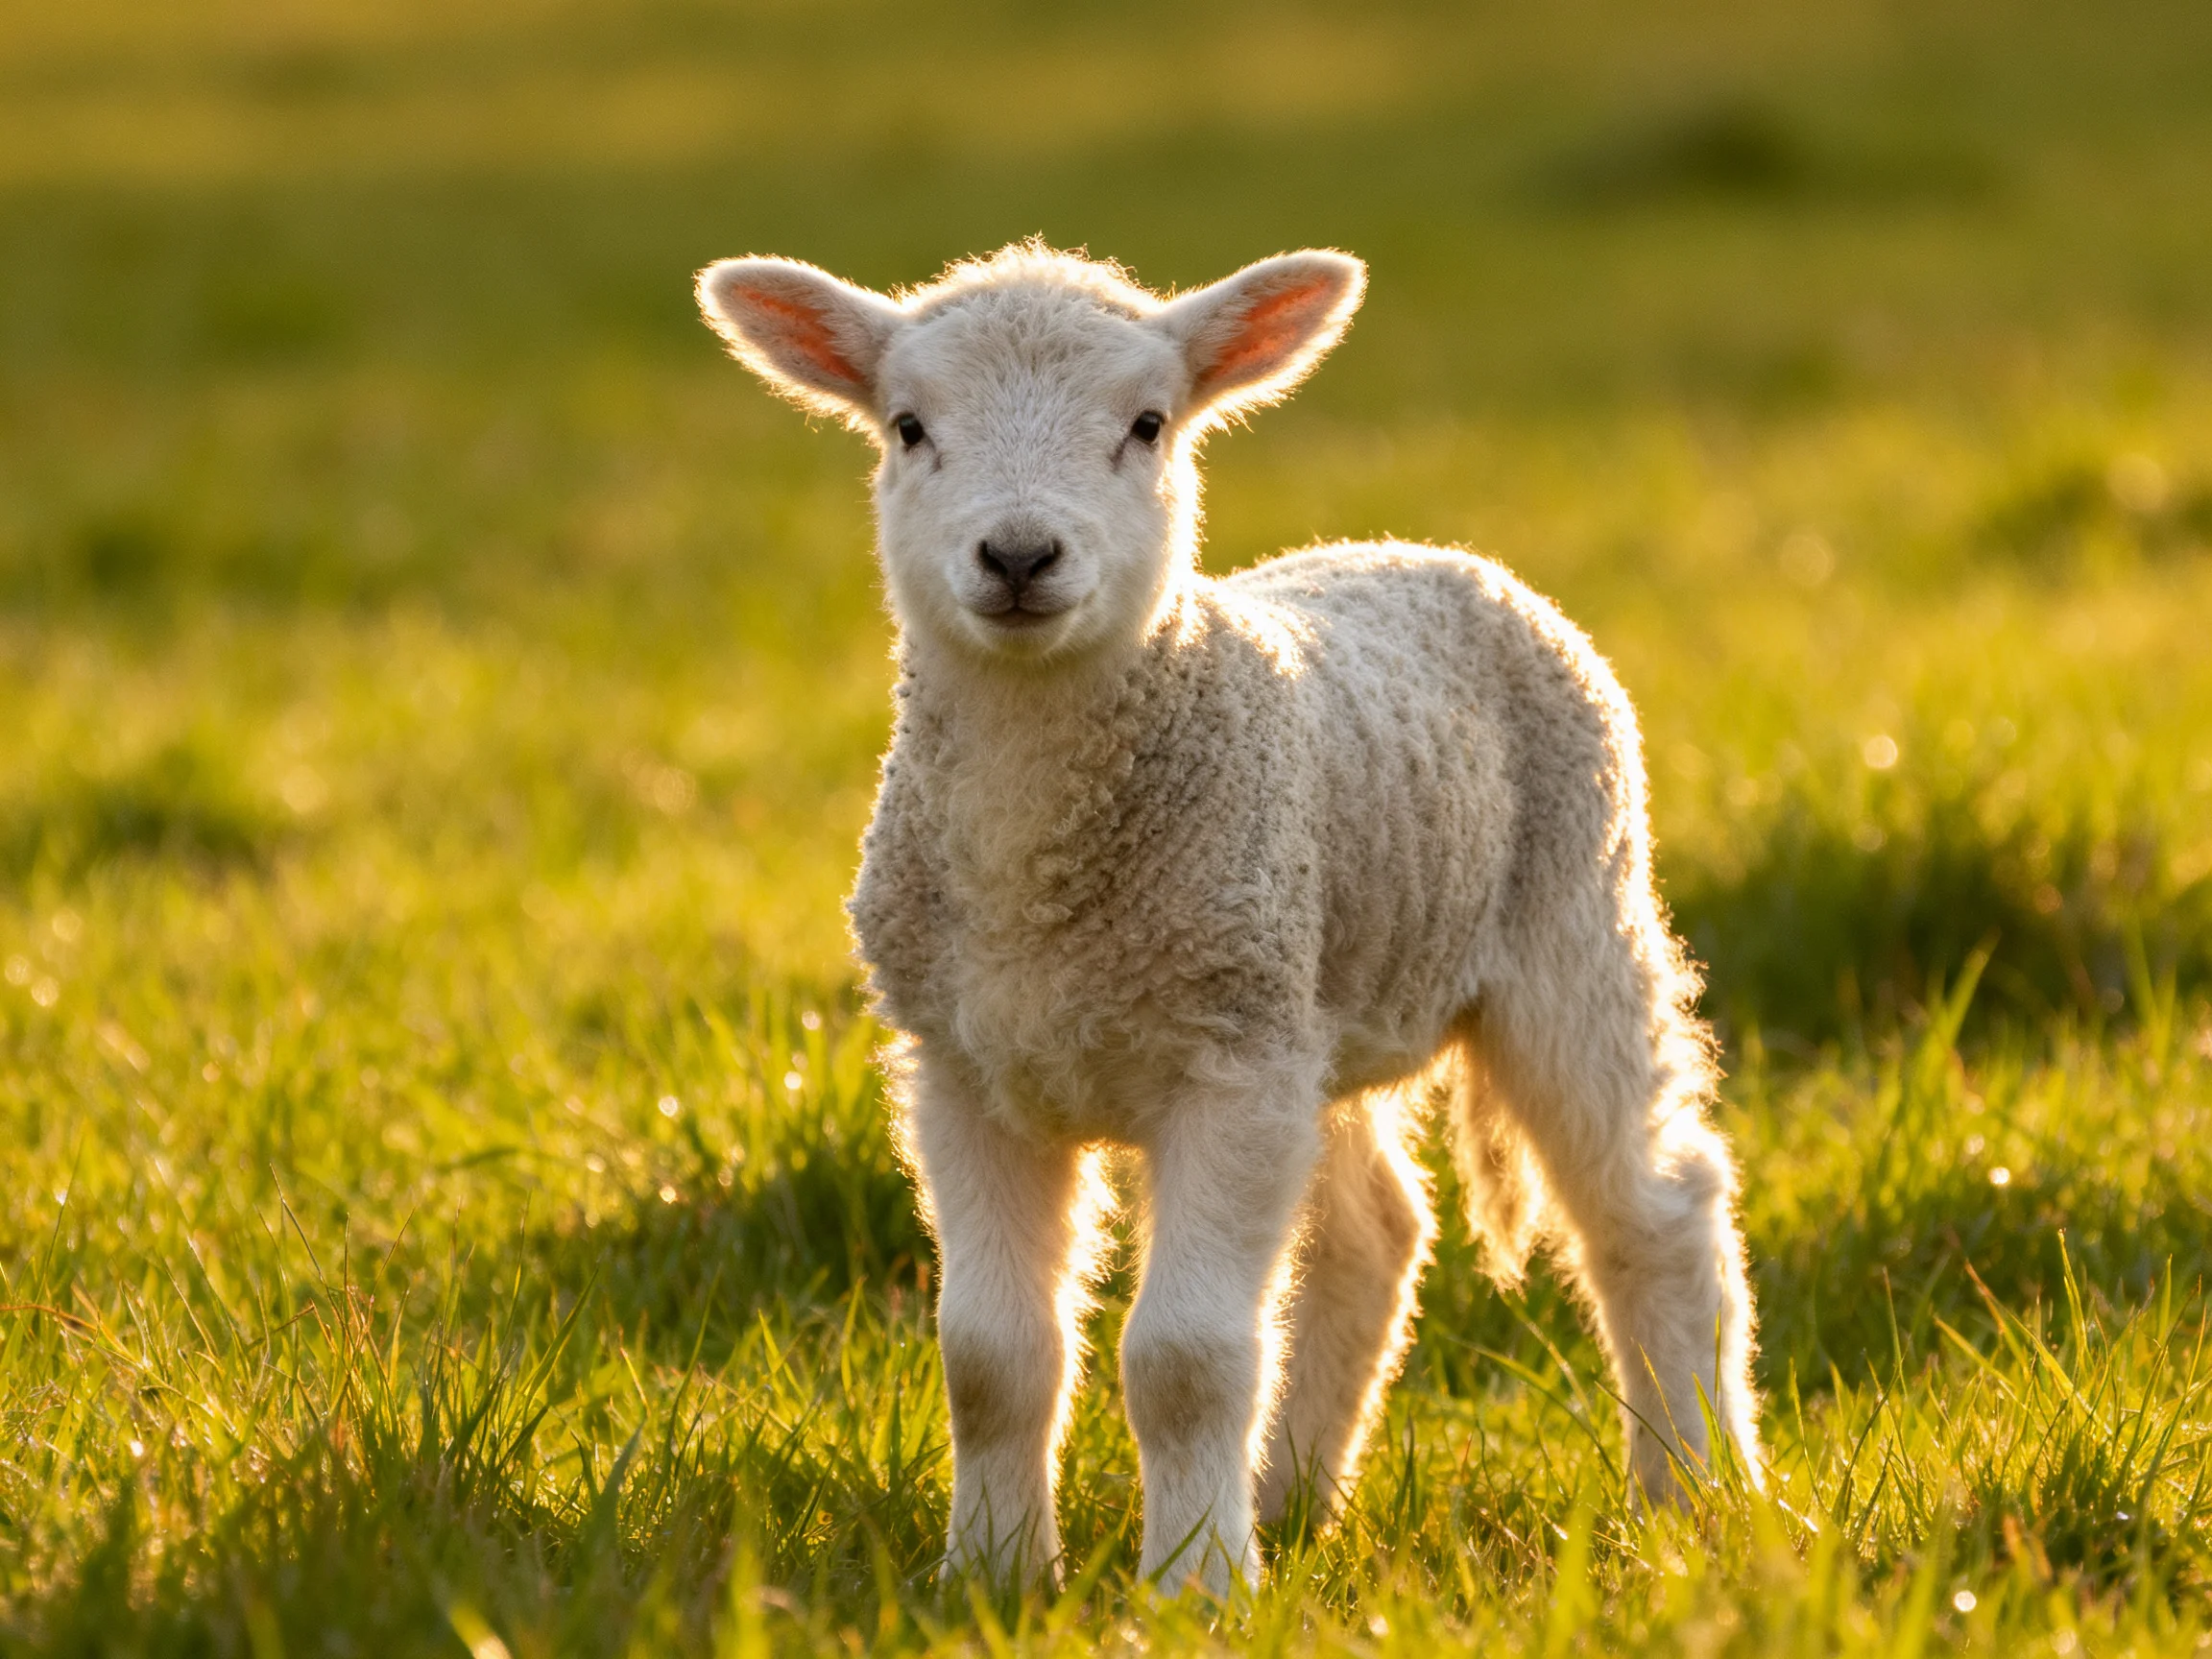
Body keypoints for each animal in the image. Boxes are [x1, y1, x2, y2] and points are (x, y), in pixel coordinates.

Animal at [696, 240, 1763, 1597]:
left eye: (1148, 425)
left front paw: (1195, 1587)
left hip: (1573, 916)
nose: (1019, 557)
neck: (1038, 876)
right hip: (1321, 995)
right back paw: (1296, 1499)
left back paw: (1699, 1496)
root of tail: (1427, 551)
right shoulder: (964, 1068)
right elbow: (990, 1355)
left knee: (1655, 1212)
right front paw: (991, 1578)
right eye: (909, 427)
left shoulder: (1226, 1060)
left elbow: (1187, 1359)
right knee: (1375, 1236)